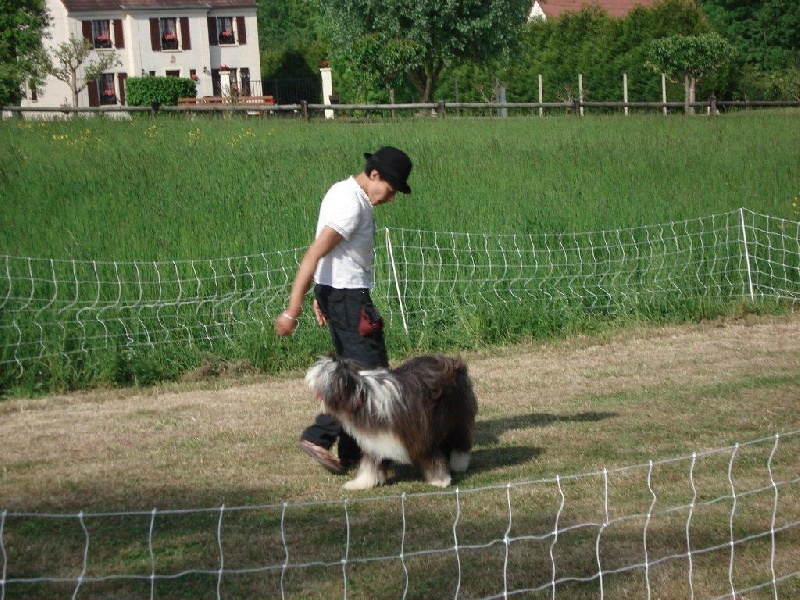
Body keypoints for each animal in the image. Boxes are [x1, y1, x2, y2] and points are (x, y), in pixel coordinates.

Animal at [304, 354, 478, 490]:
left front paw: (439, 480)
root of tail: (454, 362)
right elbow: (370, 464)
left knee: (460, 442)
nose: (309, 379)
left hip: (457, 417)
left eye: (323, 375)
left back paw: (459, 464)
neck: (364, 399)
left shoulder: (420, 434)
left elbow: (431, 457)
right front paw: (362, 483)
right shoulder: (374, 440)